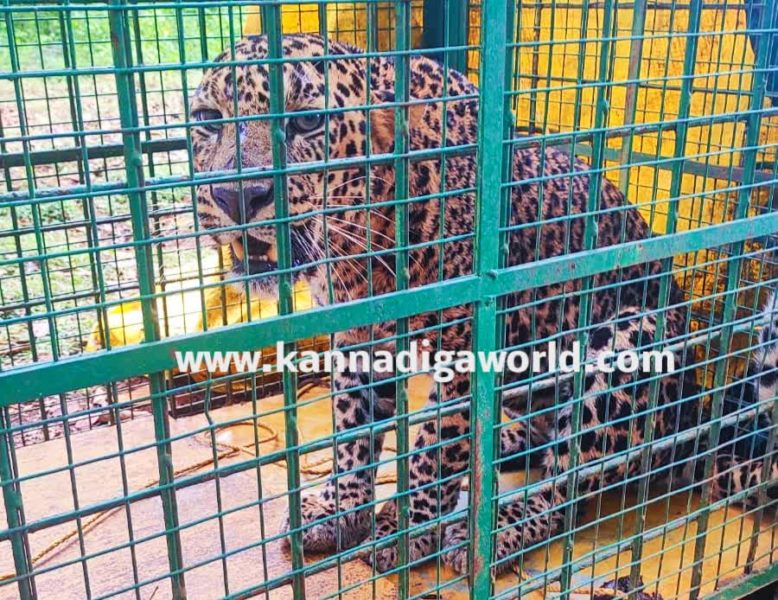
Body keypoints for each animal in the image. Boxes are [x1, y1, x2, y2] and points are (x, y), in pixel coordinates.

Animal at [190, 33, 777, 576]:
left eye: (307, 123)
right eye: (207, 120)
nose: (237, 197)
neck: (360, 247)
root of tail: (694, 426)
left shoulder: (464, 354)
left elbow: (433, 450)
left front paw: (406, 530)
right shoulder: (358, 338)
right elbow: (352, 435)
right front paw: (340, 511)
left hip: (630, 337)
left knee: (566, 487)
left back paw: (498, 525)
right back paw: (506, 443)